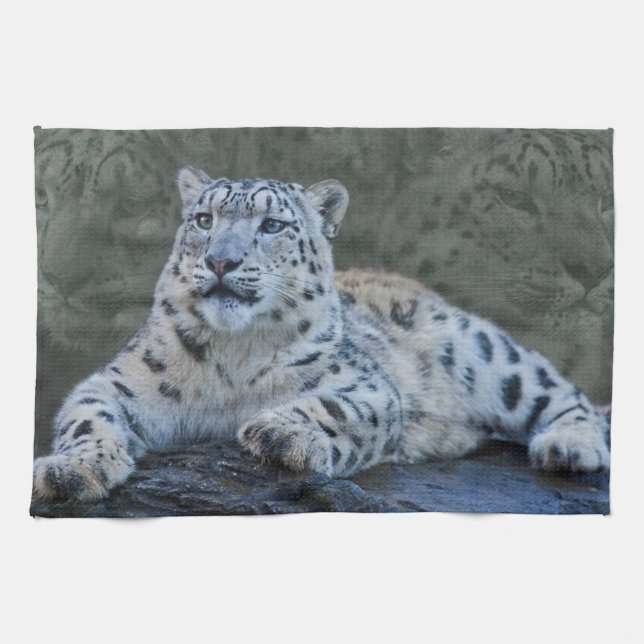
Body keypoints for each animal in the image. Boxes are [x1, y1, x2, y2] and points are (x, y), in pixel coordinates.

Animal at [32, 166, 611, 502]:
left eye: (272, 225)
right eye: (203, 219)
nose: (221, 260)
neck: (234, 354)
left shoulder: (369, 385)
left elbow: (339, 407)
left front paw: (280, 432)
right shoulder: (119, 381)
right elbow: (86, 416)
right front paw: (72, 469)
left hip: (488, 353)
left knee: (561, 391)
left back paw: (567, 447)